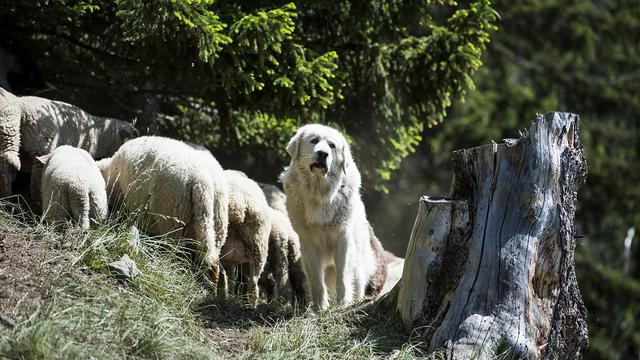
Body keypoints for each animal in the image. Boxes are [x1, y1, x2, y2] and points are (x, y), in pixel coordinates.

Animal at [0, 95, 139, 205]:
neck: (101, 135)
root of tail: (19, 107)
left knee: (5, 172)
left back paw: (7, 200)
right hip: (43, 146)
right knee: (36, 179)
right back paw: (36, 203)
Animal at [97, 136, 230, 292]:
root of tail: (203, 182)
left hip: (173, 217)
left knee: (179, 256)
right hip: (217, 224)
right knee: (214, 265)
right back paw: (216, 291)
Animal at [221, 170, 272, 308]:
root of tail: (237, 202)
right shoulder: (231, 260)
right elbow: (232, 277)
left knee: (222, 276)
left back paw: (220, 297)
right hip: (258, 245)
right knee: (253, 283)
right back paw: (251, 307)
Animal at [280, 124, 384, 310]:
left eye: (332, 146)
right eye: (314, 141)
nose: (323, 154)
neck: (319, 192)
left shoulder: (342, 239)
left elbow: (342, 276)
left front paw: (343, 304)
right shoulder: (308, 242)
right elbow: (316, 279)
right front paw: (320, 307)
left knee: (356, 281)